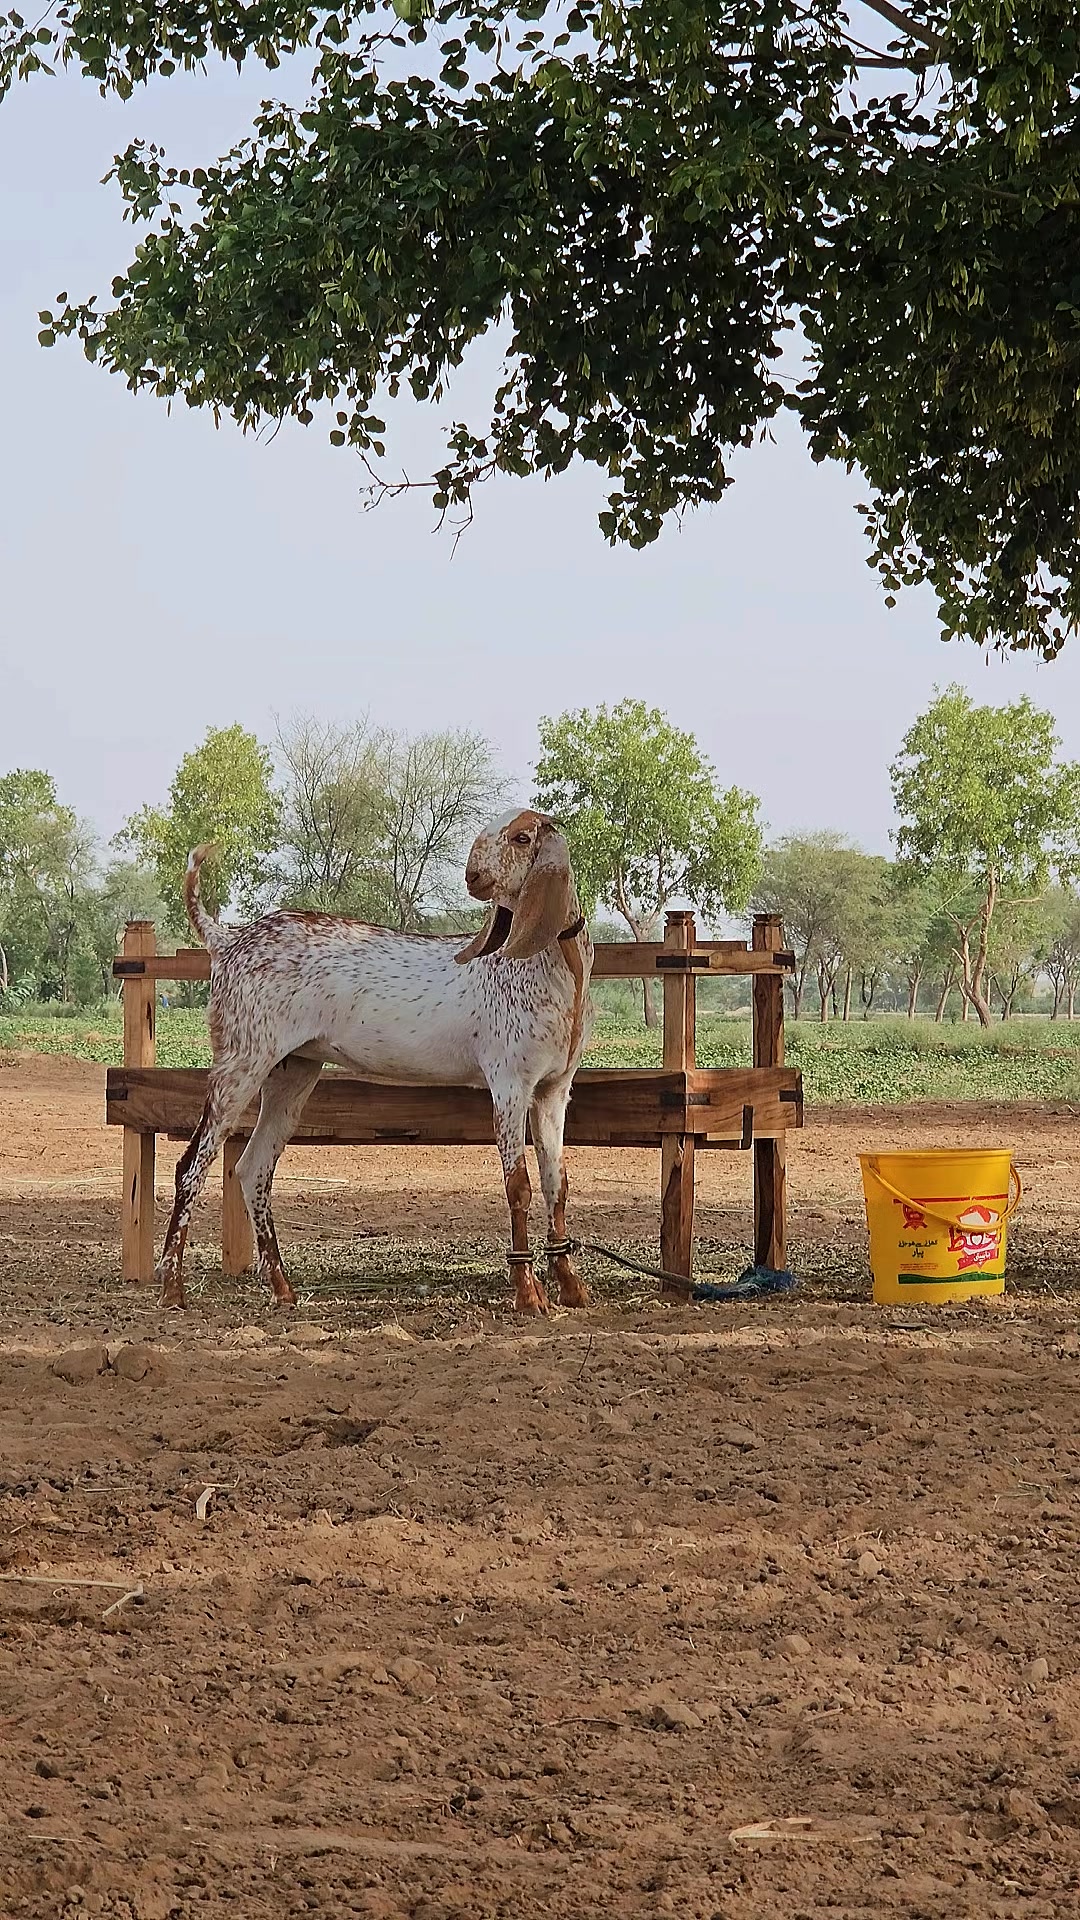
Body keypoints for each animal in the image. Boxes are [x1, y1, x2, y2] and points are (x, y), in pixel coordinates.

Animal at [156, 809, 594, 1316]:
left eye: (522, 837)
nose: (473, 877)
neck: (551, 970)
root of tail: (227, 940)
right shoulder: (508, 1085)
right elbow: (518, 1185)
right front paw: (527, 1292)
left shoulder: (553, 1092)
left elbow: (556, 1183)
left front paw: (570, 1285)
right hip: (241, 1061)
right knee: (192, 1166)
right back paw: (172, 1287)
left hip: (291, 1073)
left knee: (252, 1168)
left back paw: (282, 1287)